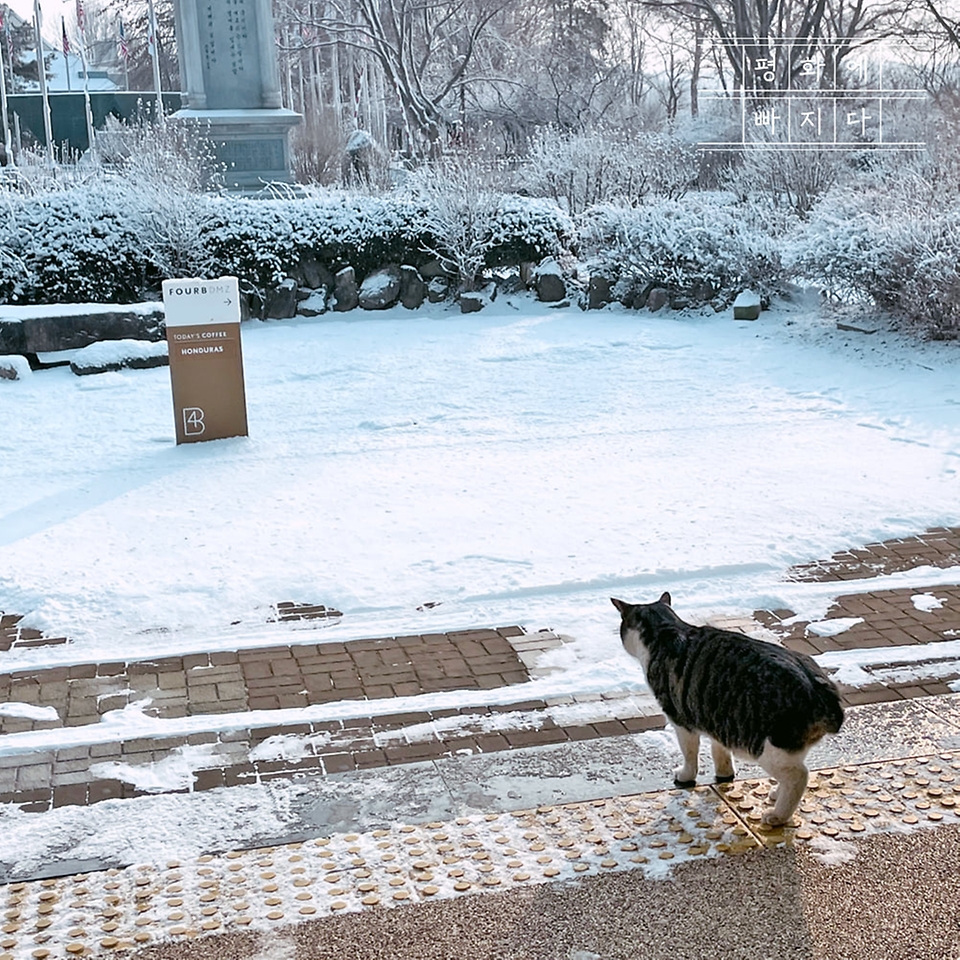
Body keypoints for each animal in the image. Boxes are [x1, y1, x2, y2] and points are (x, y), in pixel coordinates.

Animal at [612, 592, 844, 824]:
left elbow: (690, 754)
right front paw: (724, 772)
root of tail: (821, 689)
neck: (666, 628)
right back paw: (777, 794)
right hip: (787, 747)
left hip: (769, 747)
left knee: (799, 776)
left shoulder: (681, 721)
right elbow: (719, 750)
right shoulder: (716, 716)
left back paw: (777, 815)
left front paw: (686, 776)